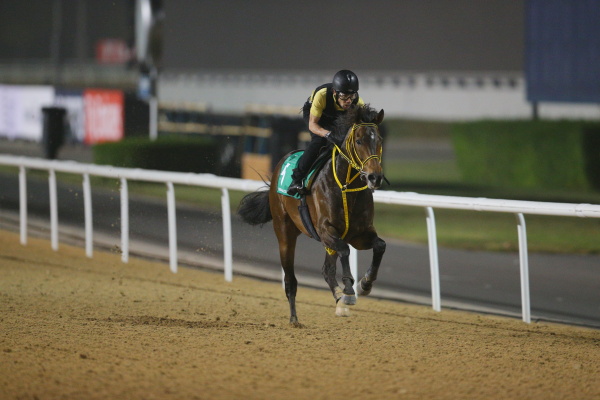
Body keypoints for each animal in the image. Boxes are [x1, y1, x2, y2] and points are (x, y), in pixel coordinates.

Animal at [237, 104, 386, 326]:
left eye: (380, 140)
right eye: (359, 141)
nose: (374, 177)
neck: (345, 187)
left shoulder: (359, 234)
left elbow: (379, 246)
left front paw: (364, 284)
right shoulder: (325, 230)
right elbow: (345, 250)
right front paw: (349, 290)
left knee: (326, 269)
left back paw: (339, 300)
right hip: (285, 232)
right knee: (290, 279)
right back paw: (294, 318)